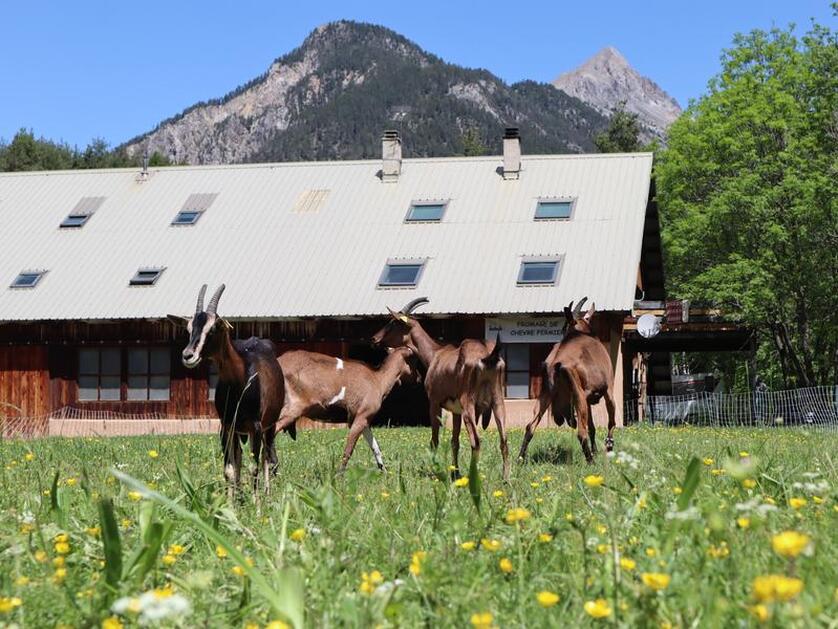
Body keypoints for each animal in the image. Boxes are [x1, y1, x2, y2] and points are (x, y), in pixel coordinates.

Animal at [168, 284, 290, 499]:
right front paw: (230, 504)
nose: (188, 355)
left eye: (213, 328)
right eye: (189, 328)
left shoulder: (256, 426)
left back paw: (266, 494)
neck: (239, 380)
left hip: (269, 425)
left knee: (267, 457)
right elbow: (230, 470)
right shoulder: (227, 426)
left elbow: (254, 468)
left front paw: (256, 505)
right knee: (241, 458)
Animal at [272, 347, 419, 472]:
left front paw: (384, 472)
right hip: (293, 408)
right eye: (413, 360)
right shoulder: (361, 417)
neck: (378, 380)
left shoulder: (363, 419)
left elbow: (375, 447)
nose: (418, 377)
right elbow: (348, 449)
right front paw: (339, 475)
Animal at [371, 297, 510, 479]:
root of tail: (488, 356)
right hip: (498, 402)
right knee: (504, 441)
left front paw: (435, 471)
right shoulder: (456, 411)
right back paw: (505, 479)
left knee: (476, 441)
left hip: (469, 405)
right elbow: (455, 441)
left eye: (393, 322)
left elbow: (434, 440)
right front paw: (455, 472)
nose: (374, 339)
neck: (435, 354)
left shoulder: (434, 402)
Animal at [517, 298, 616, 465]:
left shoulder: (587, 400)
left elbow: (592, 427)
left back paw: (519, 459)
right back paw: (591, 462)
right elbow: (611, 422)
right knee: (581, 433)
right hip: (578, 396)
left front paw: (596, 450)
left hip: (546, 396)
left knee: (530, 427)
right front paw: (608, 447)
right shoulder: (608, 390)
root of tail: (555, 363)